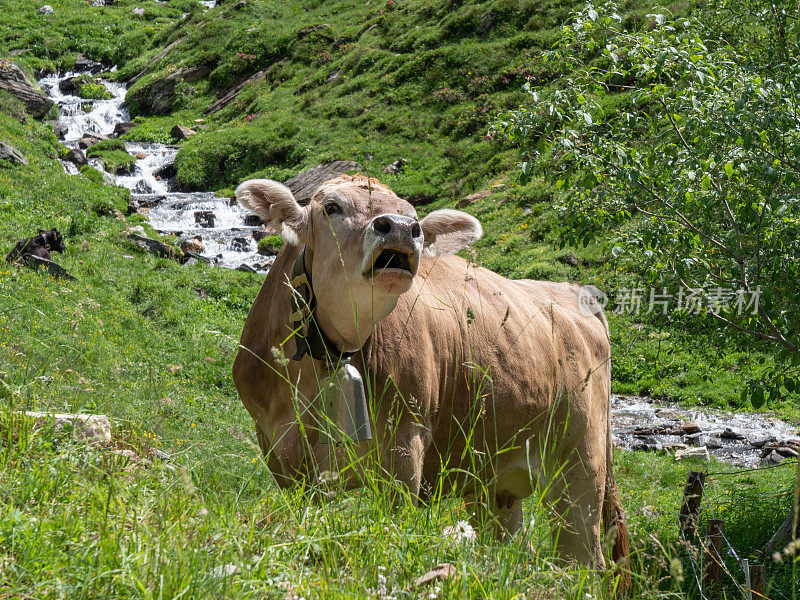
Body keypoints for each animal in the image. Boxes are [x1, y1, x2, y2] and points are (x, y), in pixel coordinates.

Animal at [234, 173, 628, 572]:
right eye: (331, 207)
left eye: (413, 216)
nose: (401, 229)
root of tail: (573, 291)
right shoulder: (283, 455)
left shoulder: (405, 443)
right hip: (493, 480)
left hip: (581, 466)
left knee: (583, 555)